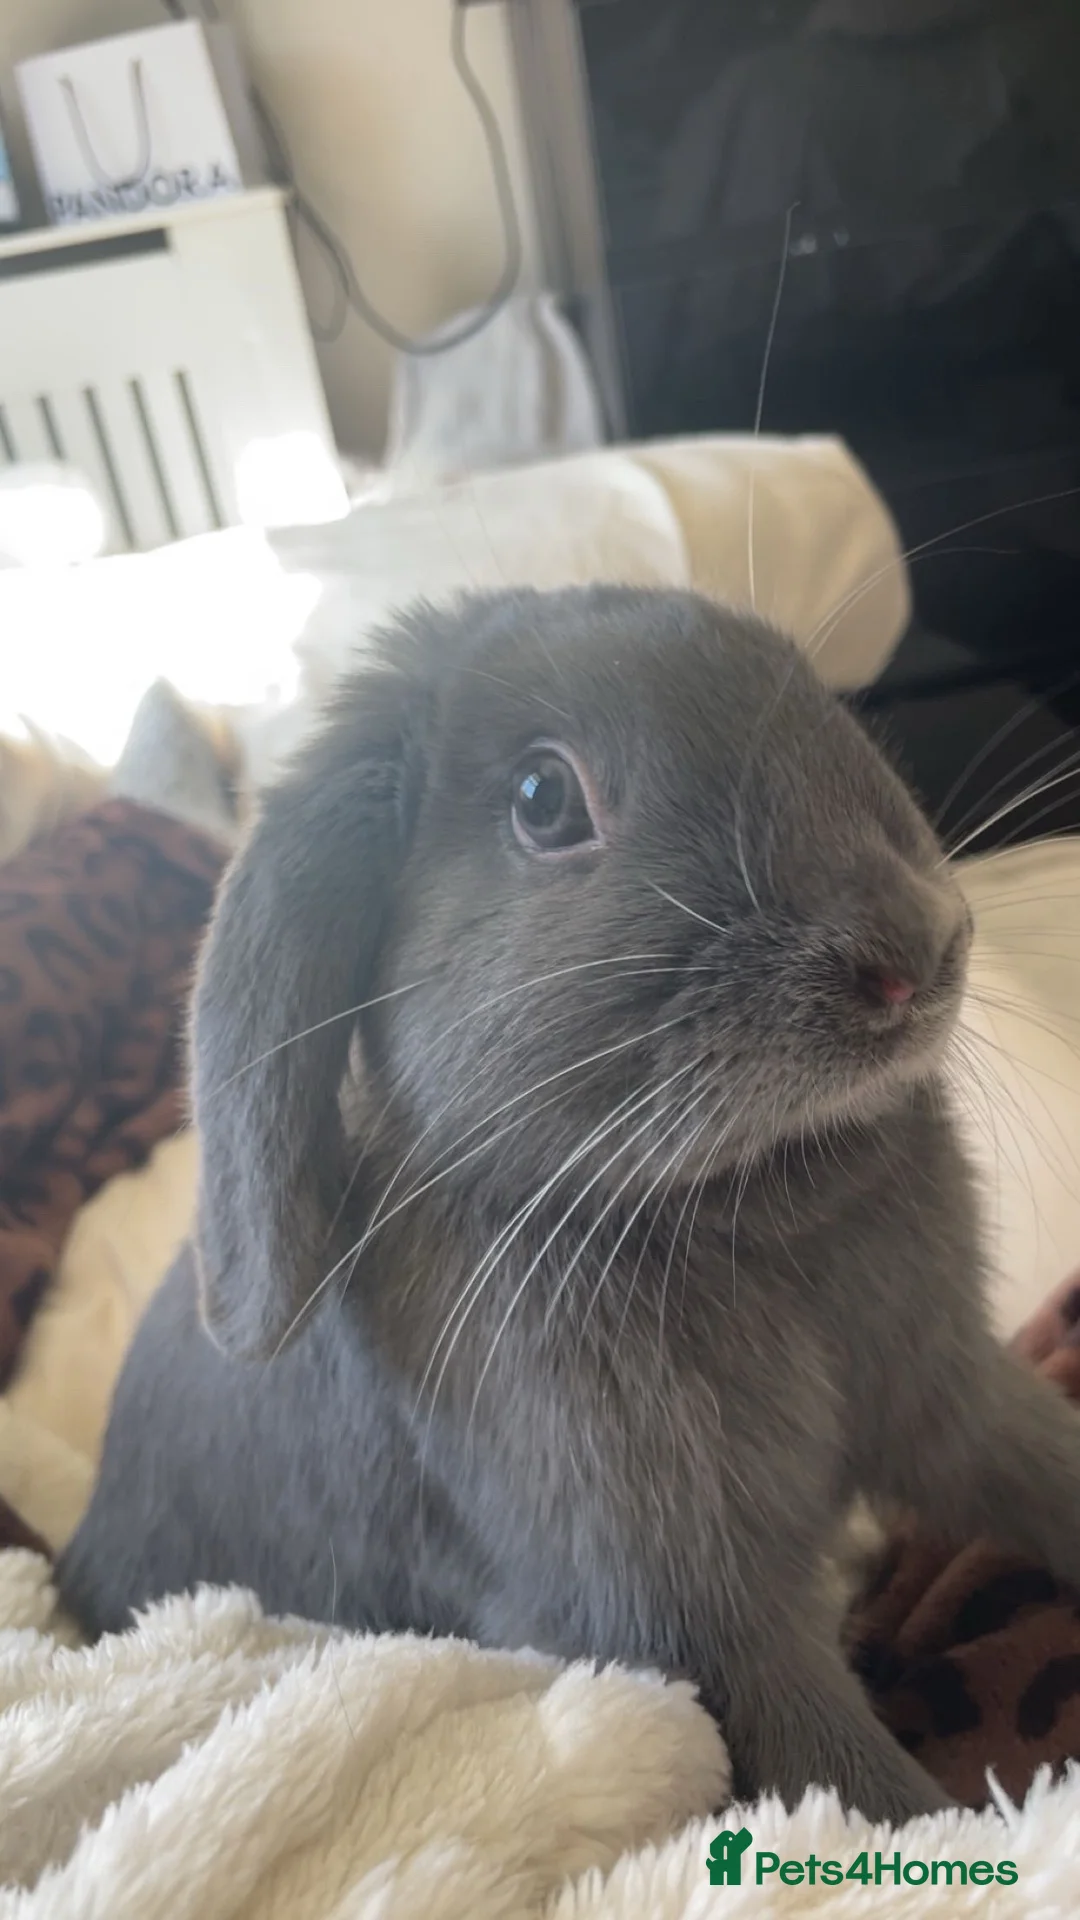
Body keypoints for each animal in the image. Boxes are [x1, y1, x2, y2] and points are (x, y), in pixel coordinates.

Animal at [59, 585, 1080, 1826]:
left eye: (813, 692)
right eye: (544, 801)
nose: (918, 948)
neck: (741, 1198)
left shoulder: (954, 1401)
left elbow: (1044, 1464)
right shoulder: (675, 1613)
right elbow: (856, 1789)